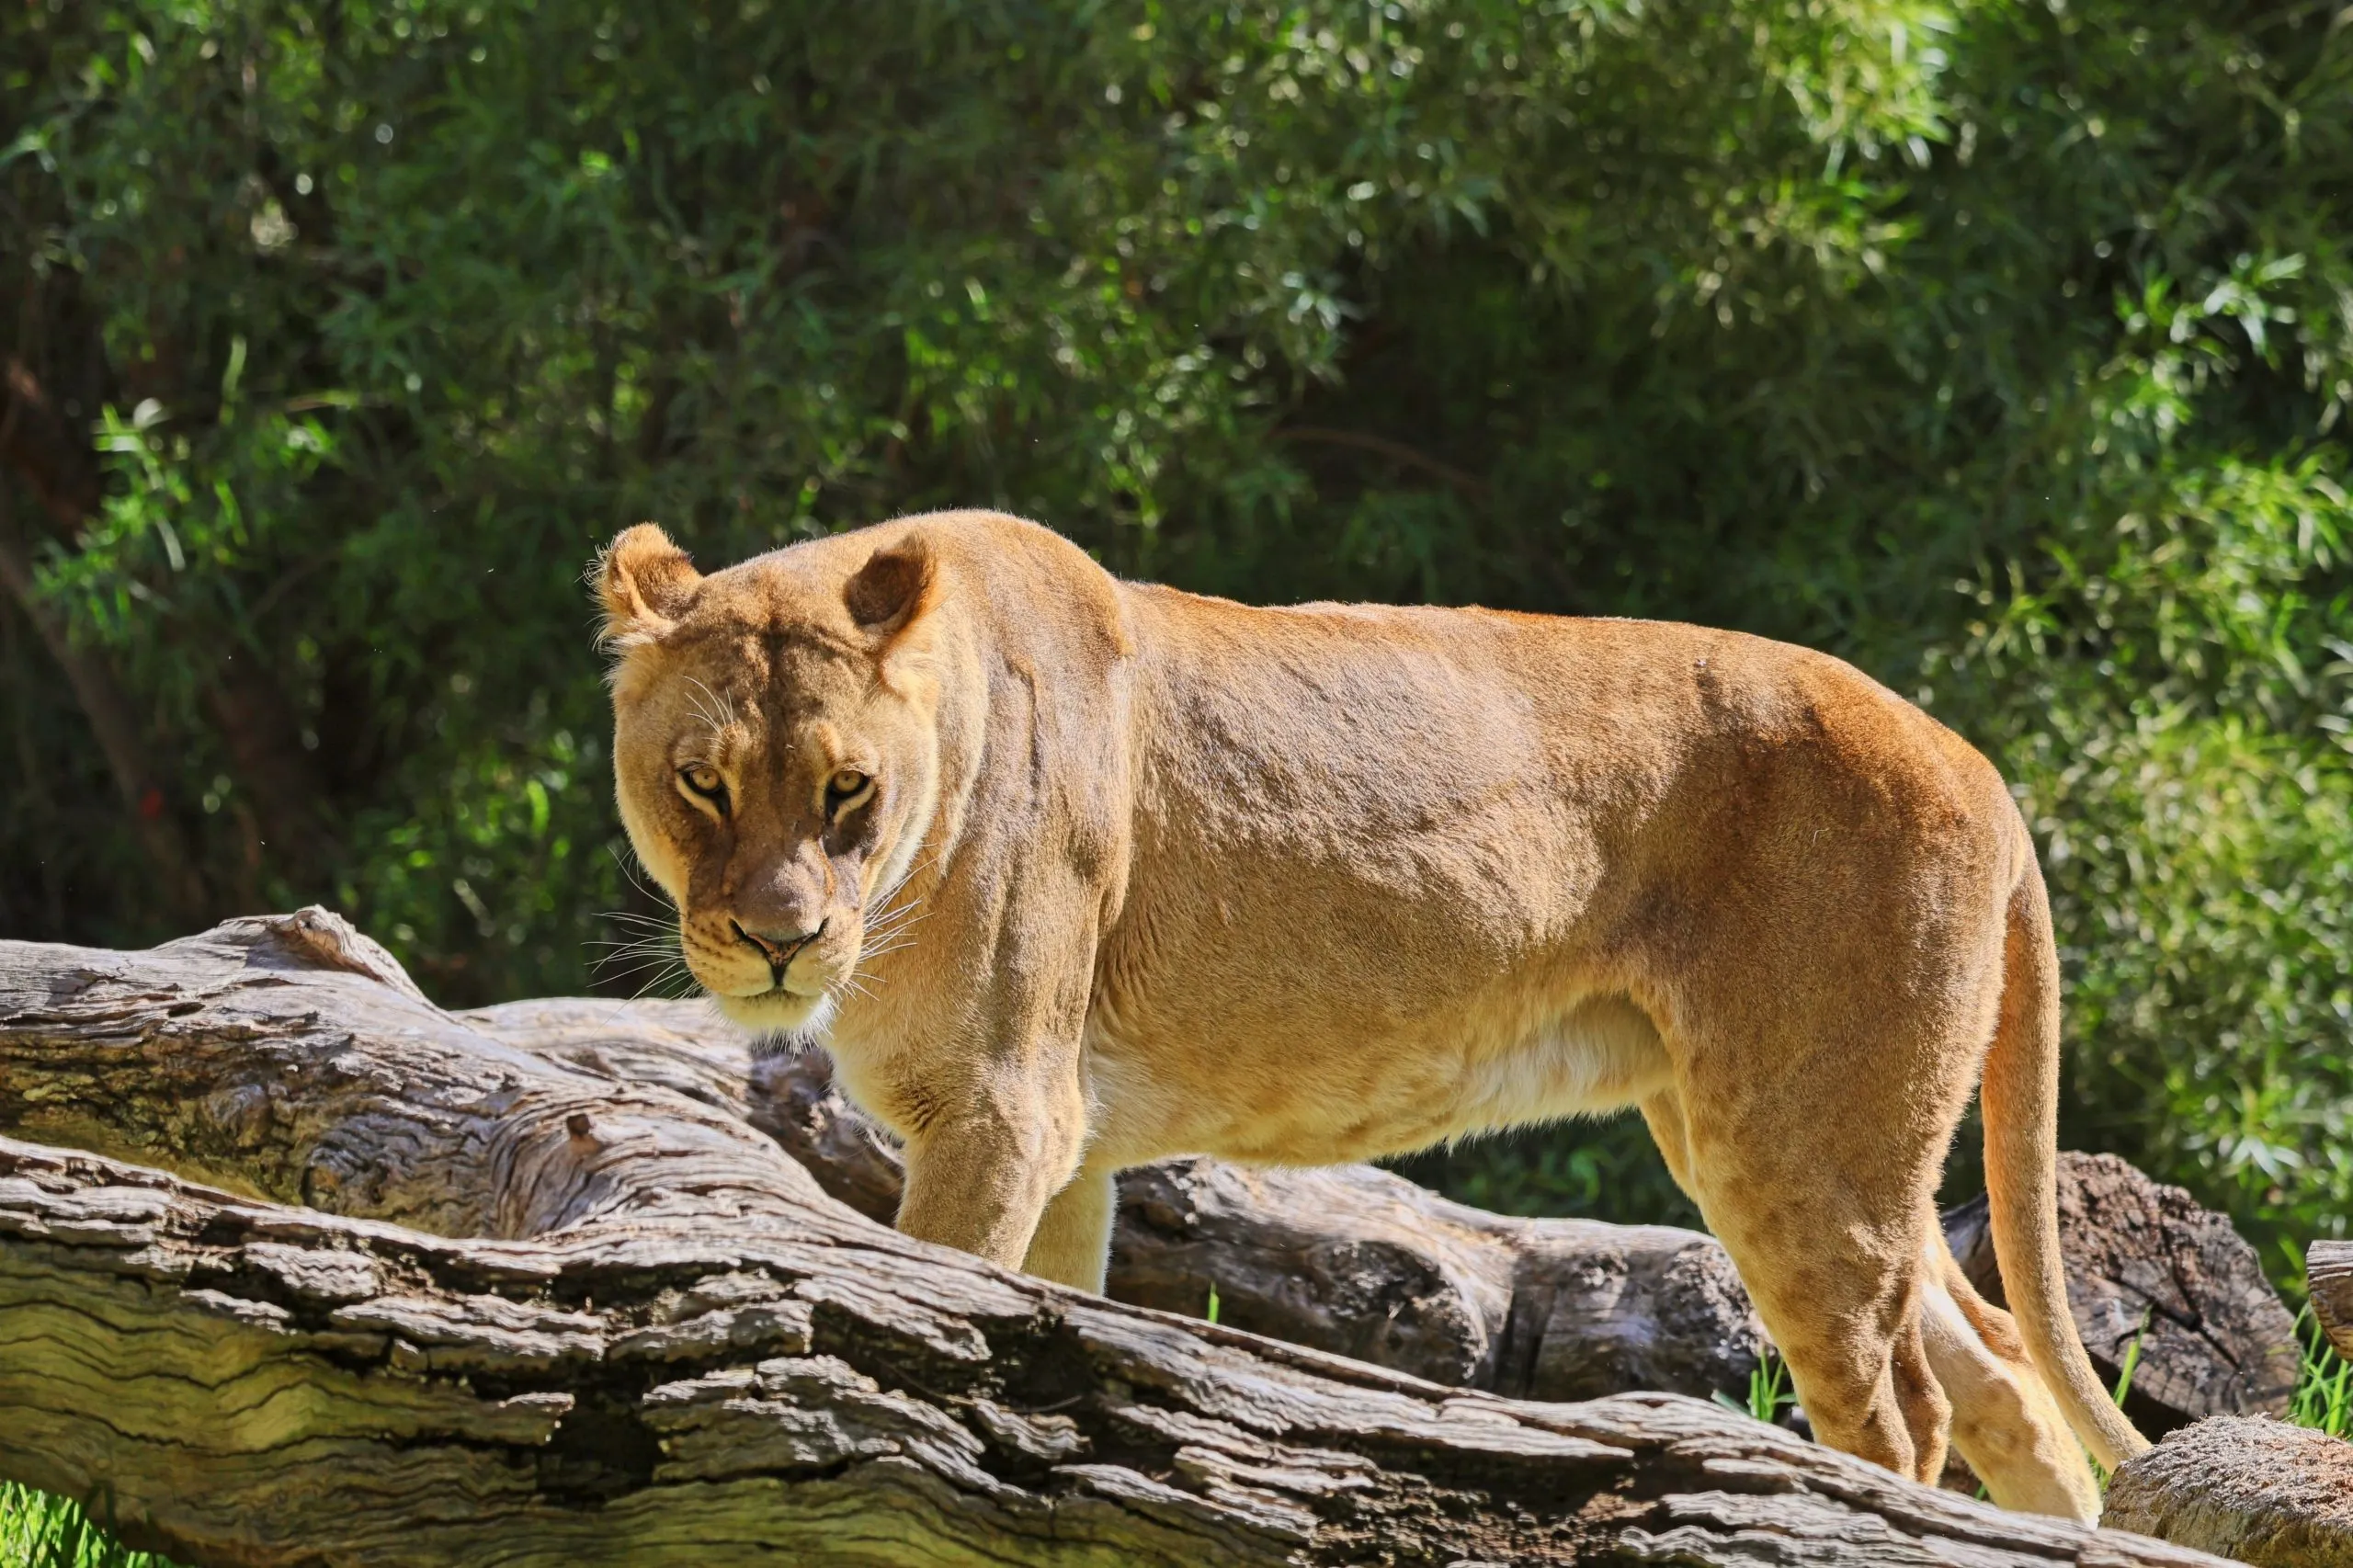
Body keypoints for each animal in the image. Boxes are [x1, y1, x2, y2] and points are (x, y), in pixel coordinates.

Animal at [593, 508, 2147, 1520]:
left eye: (848, 788)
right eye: (703, 781)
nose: (778, 940)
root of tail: (1977, 761)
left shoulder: (998, 1109)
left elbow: (932, 1304)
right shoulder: (1066, 1142)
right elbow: (1043, 1329)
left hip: (1803, 1149)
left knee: (1903, 1415)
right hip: (1805, 1145)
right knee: (2003, 1375)